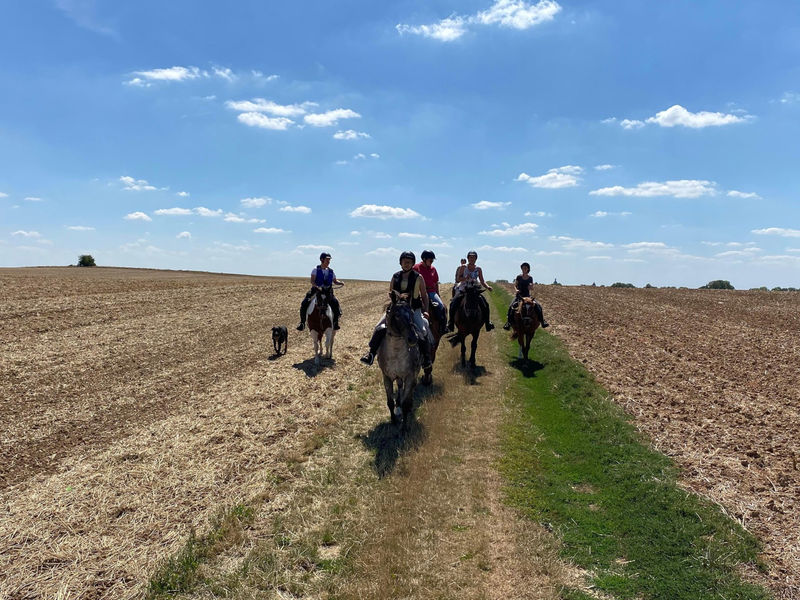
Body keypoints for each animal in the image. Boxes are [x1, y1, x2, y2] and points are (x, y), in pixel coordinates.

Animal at [378, 290, 422, 426]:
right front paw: (393, 420)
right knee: (399, 387)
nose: (413, 338)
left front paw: (404, 426)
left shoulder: (409, 376)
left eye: (412, 312)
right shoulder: (387, 377)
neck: (395, 354)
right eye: (396, 315)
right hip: (397, 377)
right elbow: (390, 402)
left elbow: (406, 404)